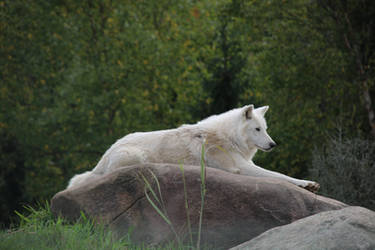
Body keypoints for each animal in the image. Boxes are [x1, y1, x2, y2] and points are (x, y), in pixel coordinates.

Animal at [67, 104, 320, 192]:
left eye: (265, 129)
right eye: (257, 129)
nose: (273, 144)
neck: (228, 136)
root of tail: (103, 157)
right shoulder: (241, 168)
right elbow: (279, 175)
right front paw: (306, 183)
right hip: (135, 156)